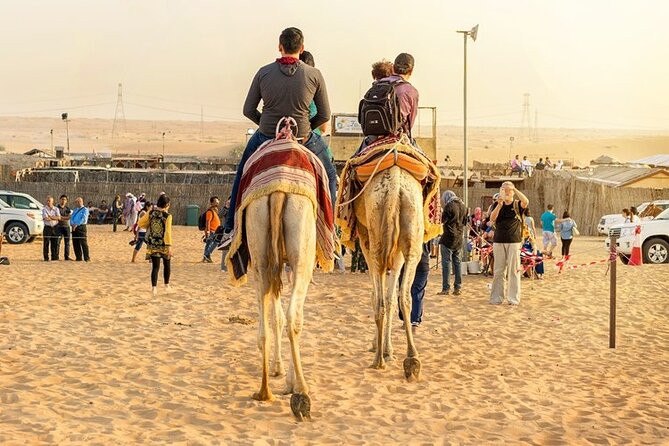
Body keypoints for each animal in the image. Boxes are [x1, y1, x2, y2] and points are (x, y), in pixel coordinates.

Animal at [352, 164, 420, 380]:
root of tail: (394, 187)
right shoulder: (396, 254)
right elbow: (391, 299)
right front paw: (388, 350)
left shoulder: (365, 241)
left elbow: (377, 297)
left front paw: (379, 346)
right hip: (411, 233)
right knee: (404, 295)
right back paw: (412, 358)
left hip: (376, 242)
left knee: (381, 300)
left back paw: (378, 360)